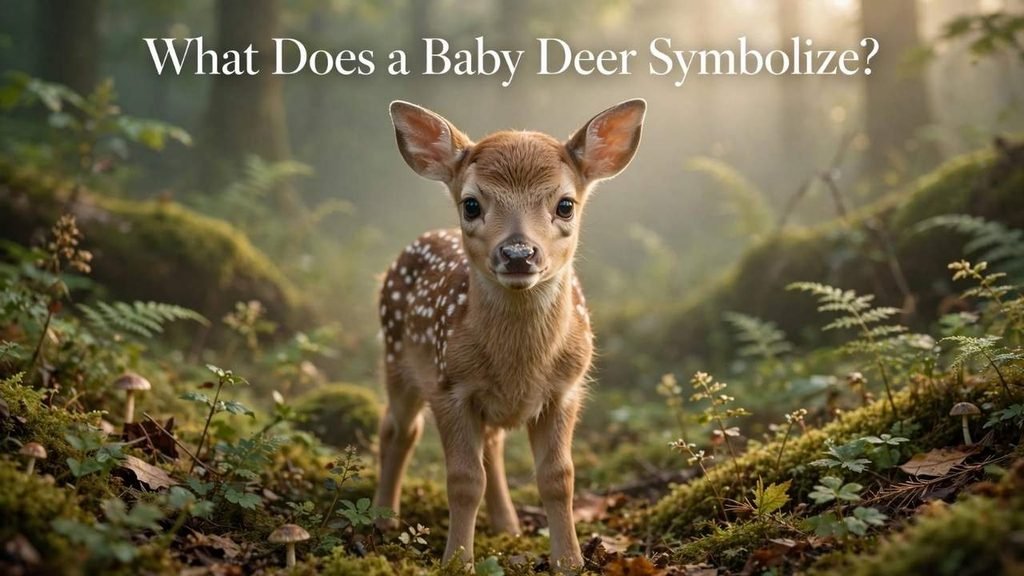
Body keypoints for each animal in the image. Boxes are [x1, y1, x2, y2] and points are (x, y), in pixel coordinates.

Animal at [374, 98, 646, 570]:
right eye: (470, 204)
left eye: (565, 204)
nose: (518, 253)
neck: (521, 364)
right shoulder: (450, 385)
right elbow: (464, 480)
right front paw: (457, 562)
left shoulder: (566, 389)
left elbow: (559, 477)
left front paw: (569, 562)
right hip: (396, 356)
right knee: (398, 428)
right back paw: (382, 517)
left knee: (493, 443)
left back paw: (508, 525)